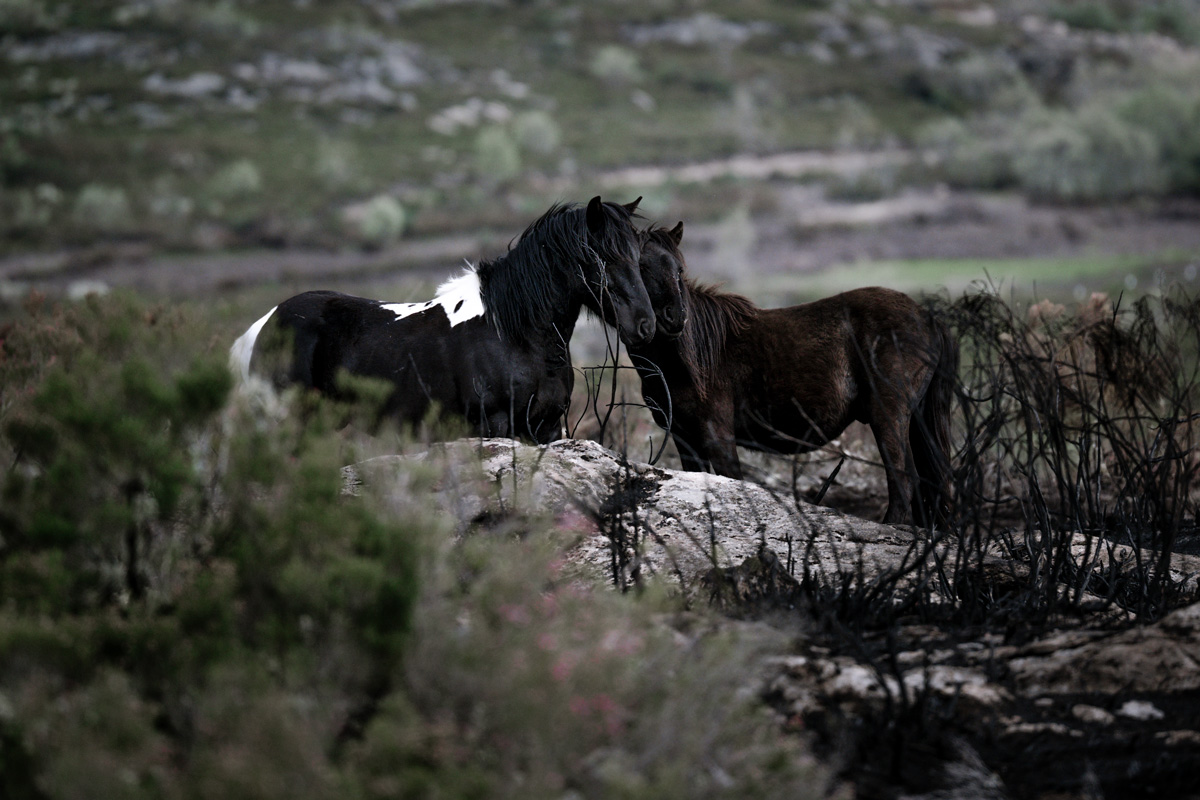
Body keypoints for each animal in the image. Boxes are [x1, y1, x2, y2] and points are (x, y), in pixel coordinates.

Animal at [230, 196, 656, 443]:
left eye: (639, 255)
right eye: (604, 258)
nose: (645, 324)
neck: (513, 333)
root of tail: (264, 325)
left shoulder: (548, 429)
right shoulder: (492, 428)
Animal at [629, 222, 958, 526]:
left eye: (679, 269)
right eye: (641, 267)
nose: (675, 318)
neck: (686, 356)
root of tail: (928, 318)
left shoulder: (717, 436)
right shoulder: (685, 439)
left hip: (888, 416)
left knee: (904, 481)